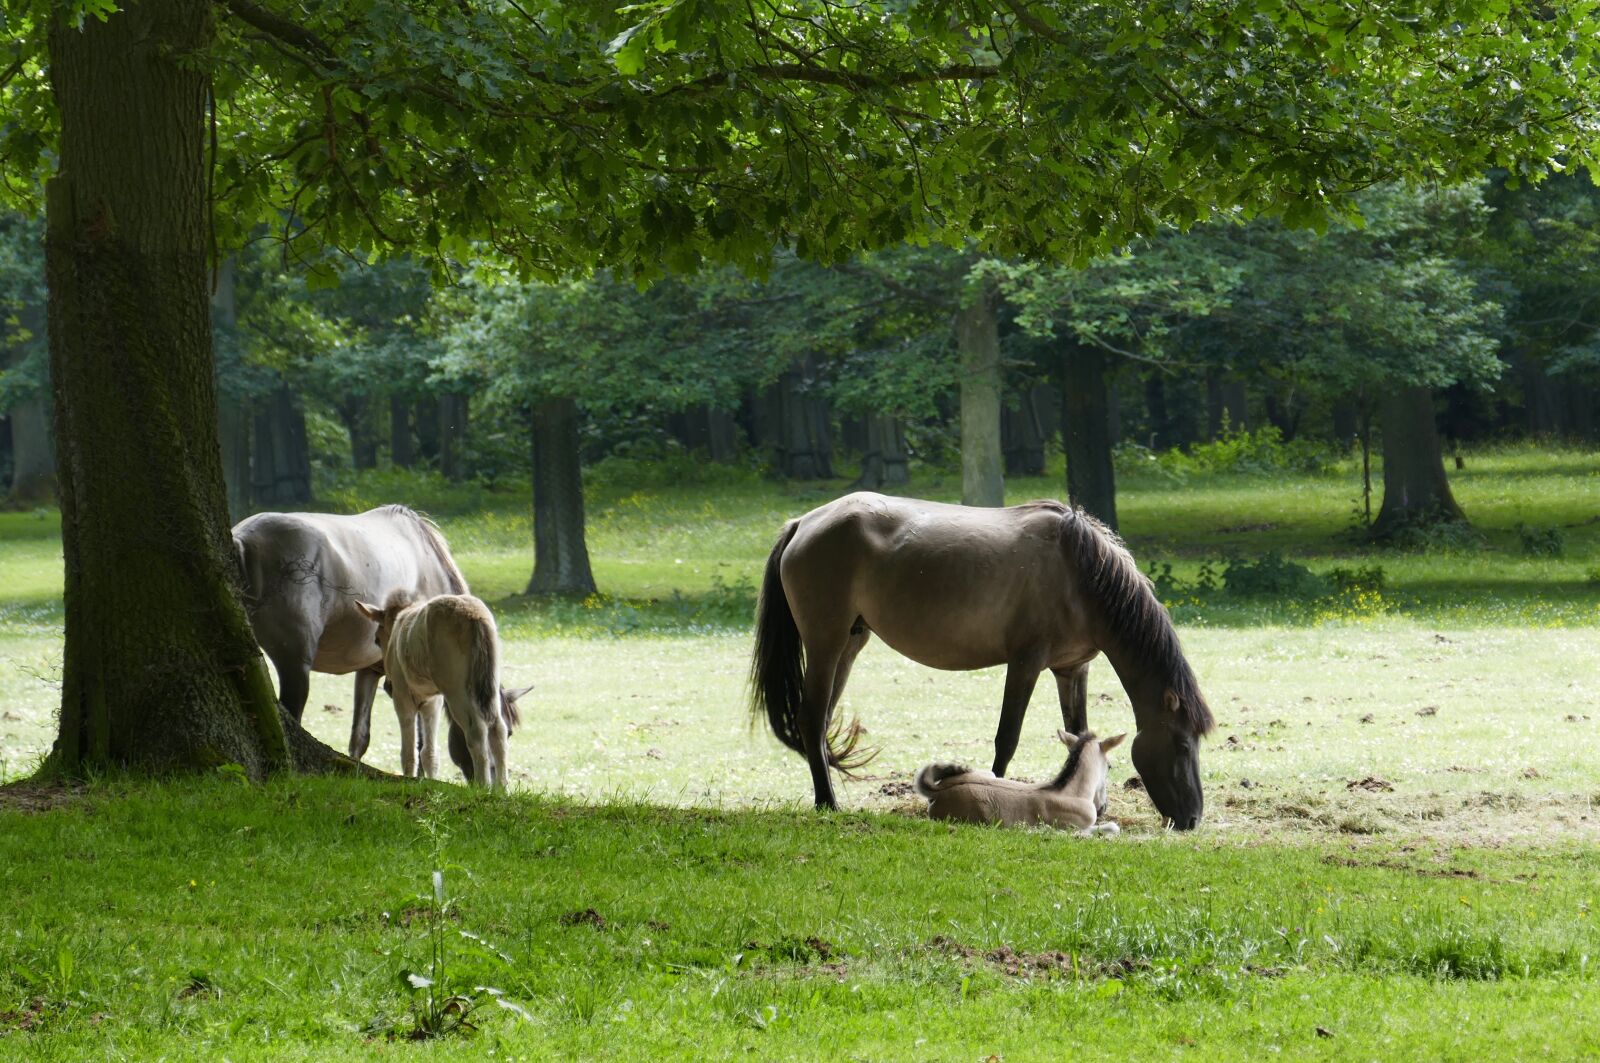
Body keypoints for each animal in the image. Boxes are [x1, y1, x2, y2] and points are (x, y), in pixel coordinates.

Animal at [358, 592, 511, 789]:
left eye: (377, 639)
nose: (388, 686)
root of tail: (475, 617)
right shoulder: (432, 702)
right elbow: (429, 753)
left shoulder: (402, 697)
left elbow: (409, 753)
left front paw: (407, 780)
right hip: (489, 686)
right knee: (498, 727)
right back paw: (502, 789)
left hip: (457, 691)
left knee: (476, 729)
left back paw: (483, 787)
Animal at [914, 730, 1125, 834]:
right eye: (1110, 767)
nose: (1103, 807)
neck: (1070, 792)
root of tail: (938, 790)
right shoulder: (1075, 827)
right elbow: (1112, 828)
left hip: (989, 774)